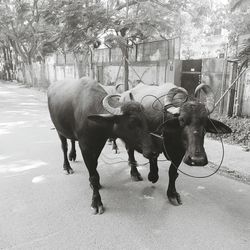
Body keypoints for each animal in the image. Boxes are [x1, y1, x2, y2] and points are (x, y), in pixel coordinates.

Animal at [47, 77, 157, 214]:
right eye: (132, 123)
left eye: (146, 119)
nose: (153, 152)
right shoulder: (85, 146)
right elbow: (93, 174)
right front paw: (96, 201)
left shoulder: (99, 143)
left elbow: (94, 165)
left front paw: (95, 182)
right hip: (59, 130)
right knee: (64, 147)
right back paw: (67, 167)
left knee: (72, 140)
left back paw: (72, 155)